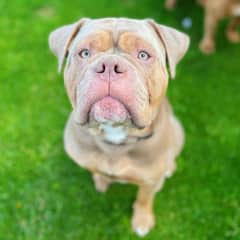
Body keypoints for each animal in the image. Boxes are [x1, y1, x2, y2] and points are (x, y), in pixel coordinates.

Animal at [48, 18, 189, 236]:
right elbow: (96, 169)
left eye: (143, 54)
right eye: (85, 53)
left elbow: (144, 199)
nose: (109, 66)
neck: (115, 135)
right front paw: (101, 180)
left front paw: (142, 220)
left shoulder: (149, 182)